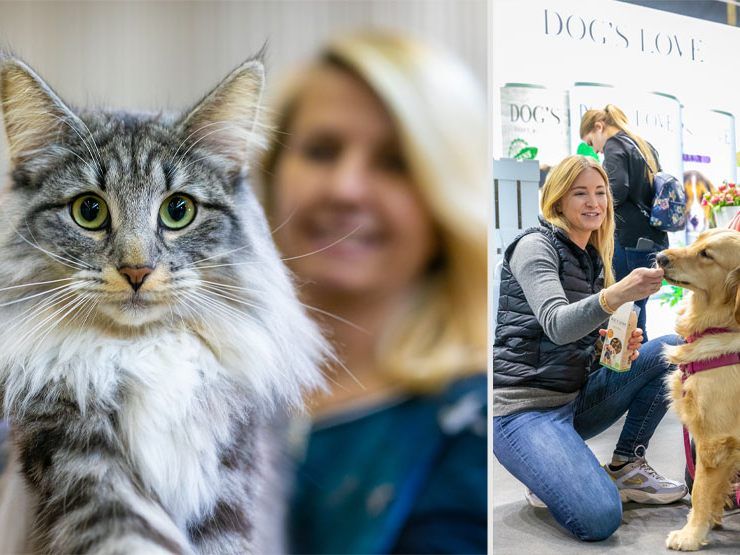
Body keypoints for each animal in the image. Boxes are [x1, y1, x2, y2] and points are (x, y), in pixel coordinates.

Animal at [0, 53, 326, 555]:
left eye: (178, 211)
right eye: (89, 211)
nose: (137, 271)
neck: (143, 351)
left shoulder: (229, 479)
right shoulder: (85, 463)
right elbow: (131, 535)